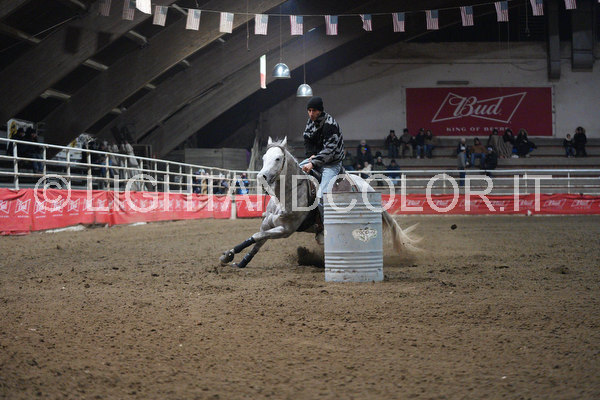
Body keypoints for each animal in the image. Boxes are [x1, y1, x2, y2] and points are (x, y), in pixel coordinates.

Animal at [219, 137, 419, 268]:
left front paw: (228, 255)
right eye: (263, 158)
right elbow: (257, 240)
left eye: (278, 158)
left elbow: (257, 237)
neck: (287, 195)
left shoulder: (285, 230)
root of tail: (367, 187)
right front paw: (237, 259)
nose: (262, 176)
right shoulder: (268, 224)